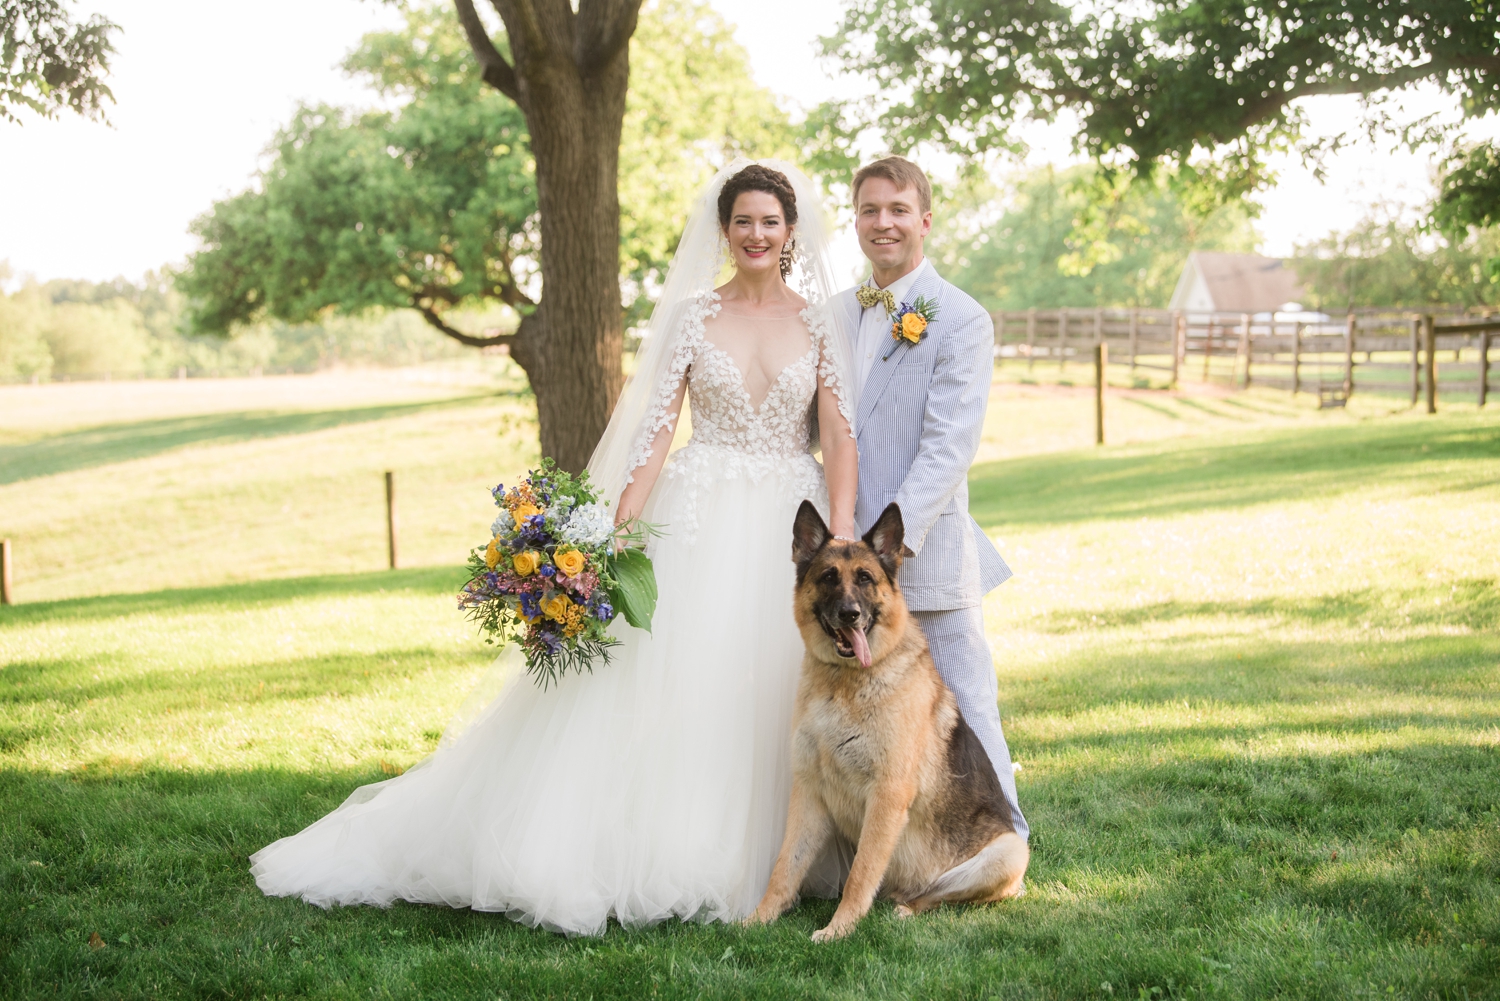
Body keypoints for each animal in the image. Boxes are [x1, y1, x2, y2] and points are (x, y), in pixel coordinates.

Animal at [750, 504, 1032, 942]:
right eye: (828, 577)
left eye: (866, 579)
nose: (850, 615)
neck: (846, 682)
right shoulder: (809, 793)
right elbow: (785, 865)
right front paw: (758, 920)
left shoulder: (887, 795)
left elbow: (861, 872)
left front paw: (838, 930)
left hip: (1010, 852)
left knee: (939, 896)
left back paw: (906, 910)